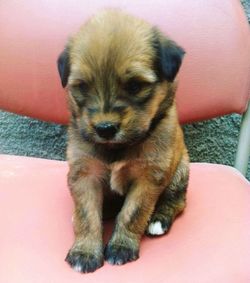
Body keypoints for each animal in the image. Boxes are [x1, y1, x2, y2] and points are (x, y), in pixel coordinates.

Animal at [57, 10, 189, 274]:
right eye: (82, 87)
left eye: (135, 85)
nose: (105, 129)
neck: (117, 148)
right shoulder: (84, 173)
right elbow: (87, 215)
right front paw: (85, 251)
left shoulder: (149, 176)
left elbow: (133, 213)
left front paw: (121, 247)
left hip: (180, 171)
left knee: (177, 201)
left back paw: (158, 220)